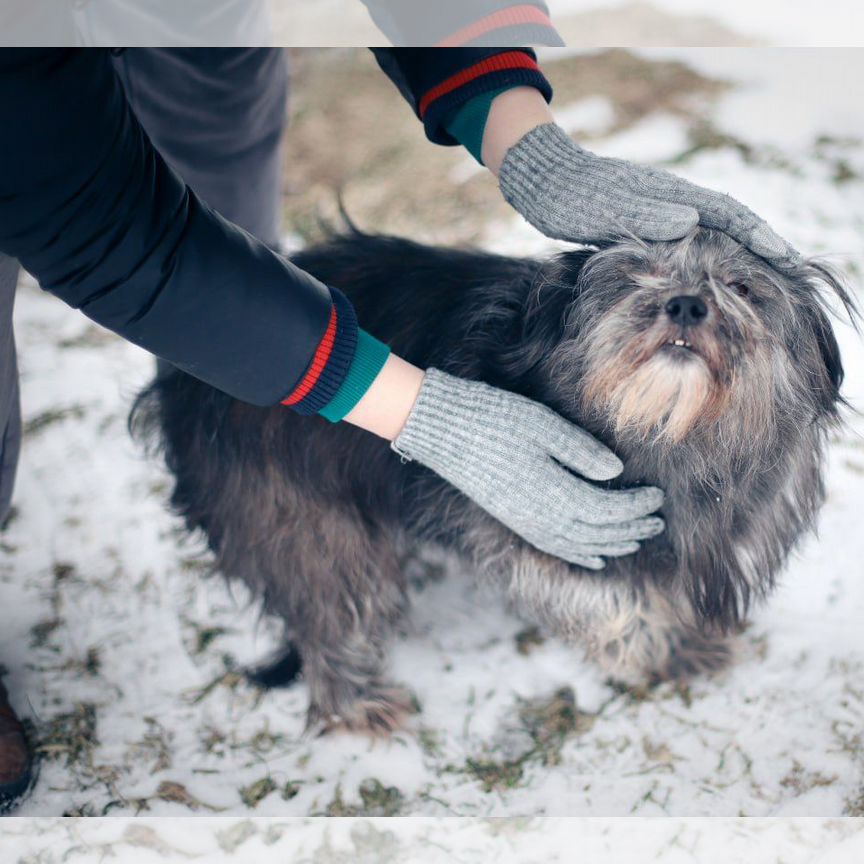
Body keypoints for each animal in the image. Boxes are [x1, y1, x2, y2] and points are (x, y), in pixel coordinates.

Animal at [132, 226, 852, 732]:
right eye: (636, 274)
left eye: (743, 286)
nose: (684, 304)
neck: (671, 430)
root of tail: (174, 383)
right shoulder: (556, 532)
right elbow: (618, 605)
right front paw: (653, 654)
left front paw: (686, 648)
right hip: (306, 524)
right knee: (328, 612)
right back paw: (356, 706)